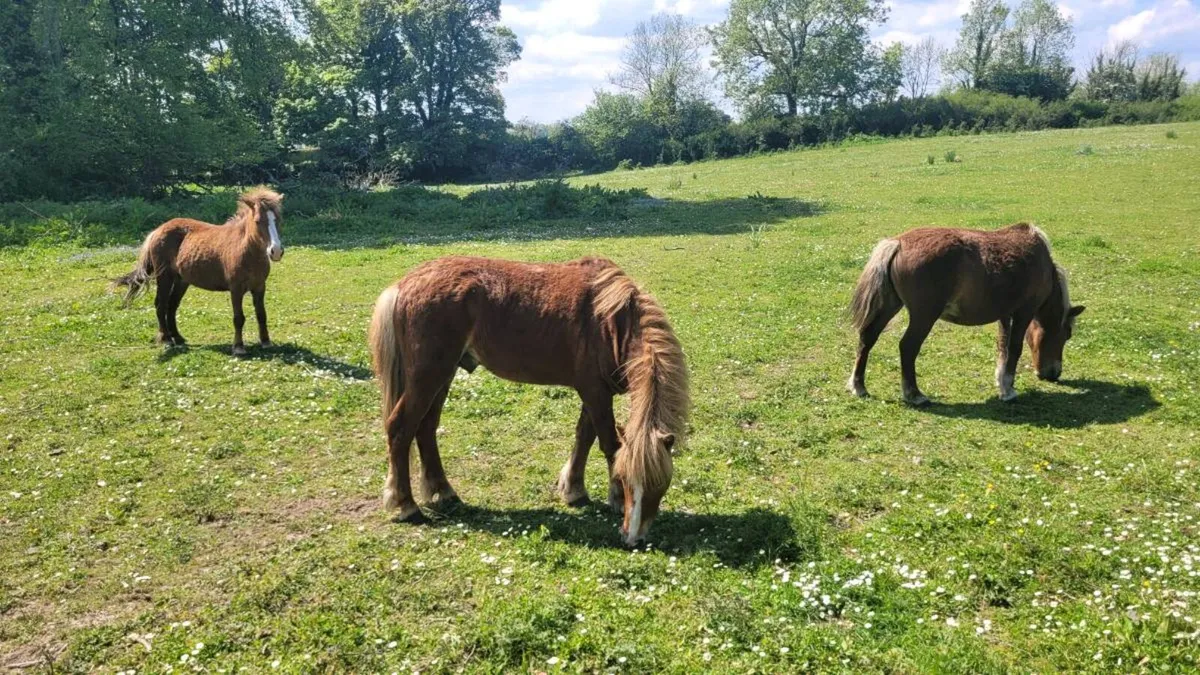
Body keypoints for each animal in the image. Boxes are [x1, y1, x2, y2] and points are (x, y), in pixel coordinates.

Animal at [113, 188, 285, 356]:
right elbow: (238, 318)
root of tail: (157, 230)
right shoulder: (236, 289)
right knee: (161, 304)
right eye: (258, 221)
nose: (275, 251)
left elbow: (261, 314)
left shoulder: (260, 287)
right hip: (164, 277)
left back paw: (178, 337)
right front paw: (238, 347)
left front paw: (266, 342)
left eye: (277, 220)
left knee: (172, 305)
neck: (246, 250)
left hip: (181, 281)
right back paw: (166, 339)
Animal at [368, 256, 689, 547]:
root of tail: (404, 284)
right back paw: (406, 506)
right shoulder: (595, 392)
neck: (612, 320)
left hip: (443, 376)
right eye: (625, 479)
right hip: (428, 376)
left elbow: (584, 437)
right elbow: (609, 444)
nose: (634, 538)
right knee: (401, 428)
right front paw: (615, 499)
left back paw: (444, 493)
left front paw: (574, 490)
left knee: (426, 428)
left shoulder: (595, 392)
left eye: (661, 484)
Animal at [848, 223, 1085, 405]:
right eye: (1067, 334)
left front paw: (1001, 382)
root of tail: (898, 243)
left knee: (867, 338)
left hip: (890, 305)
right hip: (924, 315)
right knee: (907, 347)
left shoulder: (1005, 315)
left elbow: (1003, 347)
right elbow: (1015, 348)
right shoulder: (1024, 312)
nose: (1053, 373)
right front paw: (1008, 390)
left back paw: (859, 386)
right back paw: (914, 395)